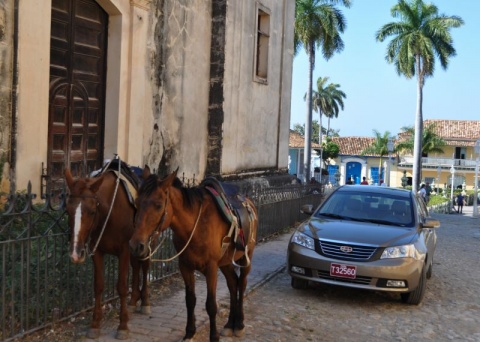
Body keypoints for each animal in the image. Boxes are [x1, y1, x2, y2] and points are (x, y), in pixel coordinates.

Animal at [63, 166, 150, 340]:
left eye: (91, 211)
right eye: (68, 210)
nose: (76, 253)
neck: (109, 211)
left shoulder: (124, 251)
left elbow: (122, 287)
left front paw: (122, 326)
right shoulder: (97, 251)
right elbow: (98, 286)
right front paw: (95, 324)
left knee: (144, 266)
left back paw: (144, 302)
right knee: (136, 266)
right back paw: (134, 299)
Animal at [127, 167, 255, 340]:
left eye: (158, 205)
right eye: (137, 203)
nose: (136, 245)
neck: (195, 225)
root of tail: (248, 201)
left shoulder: (211, 268)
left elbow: (211, 305)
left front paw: (213, 336)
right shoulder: (185, 266)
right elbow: (190, 300)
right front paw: (189, 332)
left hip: (246, 257)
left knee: (241, 284)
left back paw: (239, 324)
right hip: (226, 261)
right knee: (232, 283)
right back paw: (230, 324)